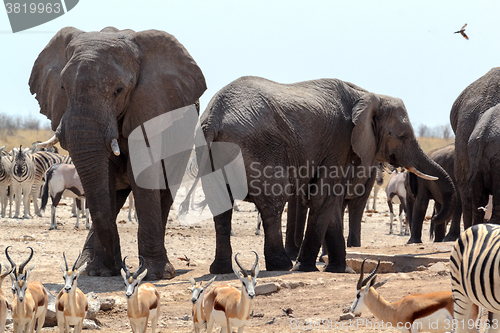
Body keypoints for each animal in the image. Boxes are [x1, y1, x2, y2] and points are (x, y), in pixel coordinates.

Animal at [30, 27, 206, 278]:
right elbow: (105, 181)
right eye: (63, 87)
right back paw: (85, 265)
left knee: (165, 190)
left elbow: (144, 175)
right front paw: (98, 271)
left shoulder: (150, 106)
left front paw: (153, 274)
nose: (117, 265)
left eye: (119, 90)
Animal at [197, 76, 456, 274]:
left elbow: (331, 202)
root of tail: (213, 118)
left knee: (221, 211)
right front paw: (305, 267)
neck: (368, 96)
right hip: (261, 149)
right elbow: (324, 197)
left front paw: (341, 270)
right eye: (402, 136)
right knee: (272, 206)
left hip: (210, 154)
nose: (434, 219)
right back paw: (282, 265)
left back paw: (220, 270)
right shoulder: (338, 141)